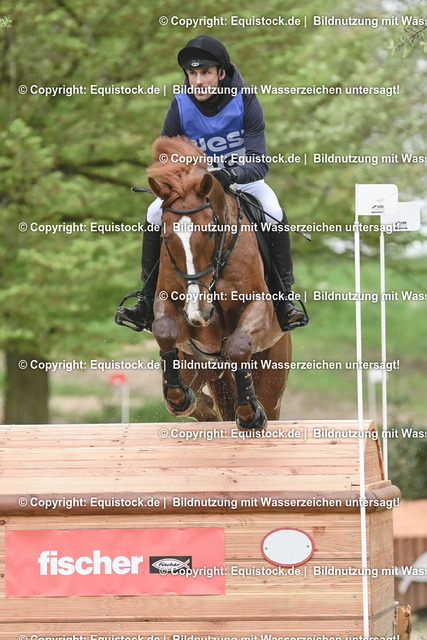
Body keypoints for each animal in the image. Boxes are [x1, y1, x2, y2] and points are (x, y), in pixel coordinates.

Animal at [146, 136, 292, 429]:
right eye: (165, 237)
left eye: (210, 232)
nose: (199, 314)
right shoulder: (172, 307)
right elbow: (164, 330)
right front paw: (181, 398)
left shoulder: (258, 305)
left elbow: (238, 346)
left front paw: (249, 413)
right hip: (202, 365)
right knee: (202, 398)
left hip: (271, 372)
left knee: (266, 401)